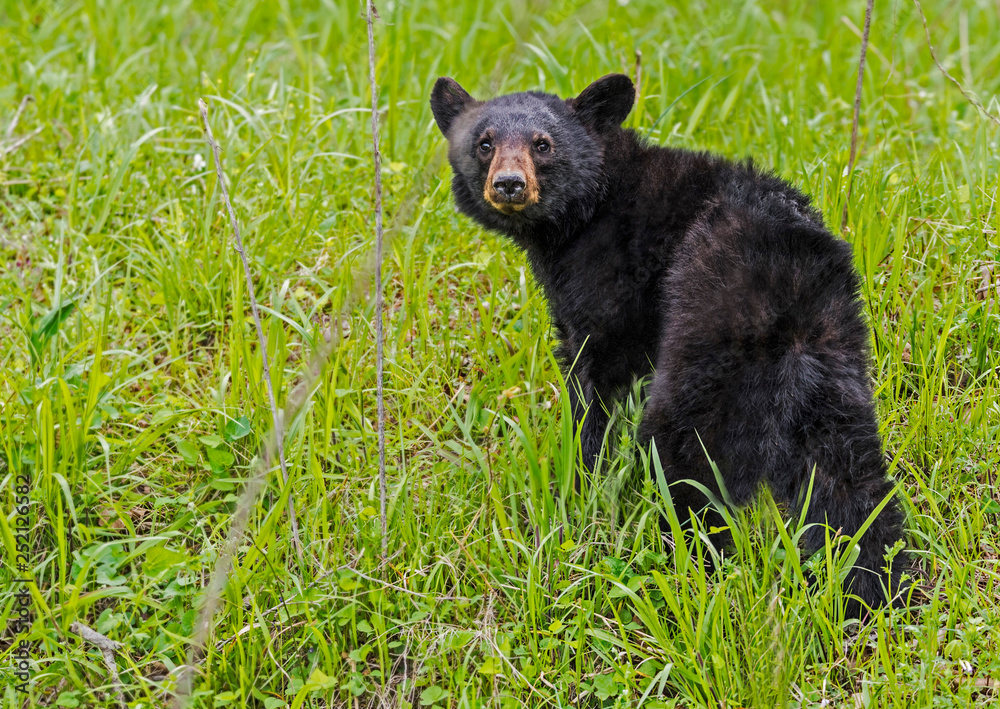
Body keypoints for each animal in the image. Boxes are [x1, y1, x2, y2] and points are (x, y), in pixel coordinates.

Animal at [430, 73, 906, 615]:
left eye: (543, 144)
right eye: (484, 143)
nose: (509, 184)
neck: (587, 211)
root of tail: (789, 291)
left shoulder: (608, 286)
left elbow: (593, 381)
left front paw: (578, 483)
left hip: (709, 349)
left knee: (689, 459)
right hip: (838, 360)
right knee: (851, 478)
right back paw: (878, 586)